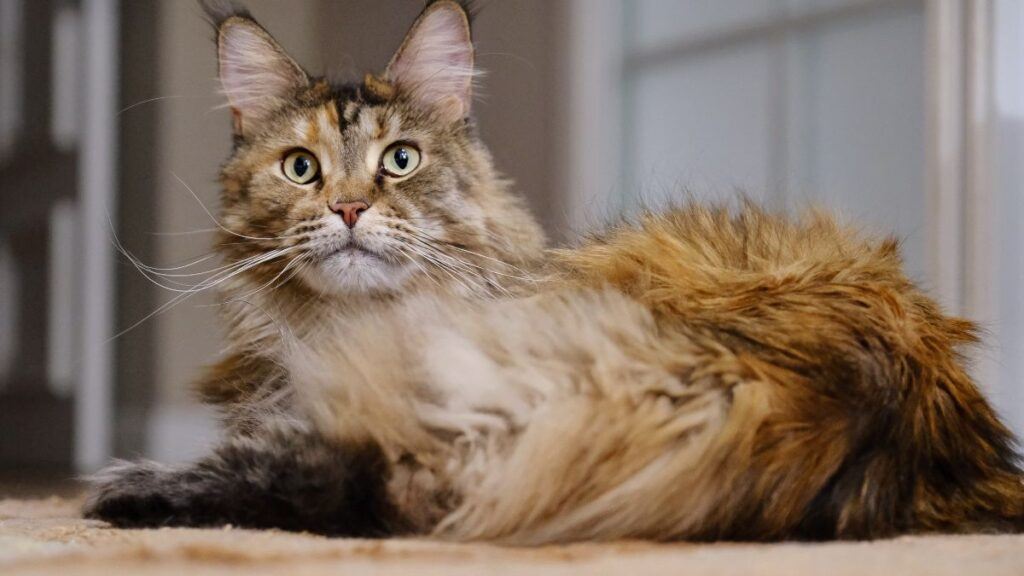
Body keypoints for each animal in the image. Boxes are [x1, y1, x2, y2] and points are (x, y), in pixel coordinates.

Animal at [81, 0, 1024, 541]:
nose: (348, 210)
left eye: (399, 160)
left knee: (373, 485)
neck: (352, 329)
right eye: (302, 169)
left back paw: (125, 488)